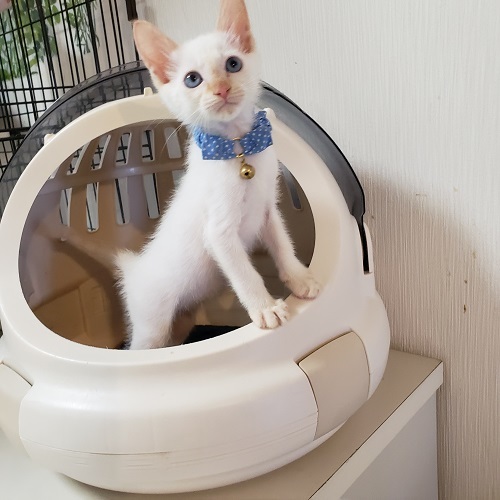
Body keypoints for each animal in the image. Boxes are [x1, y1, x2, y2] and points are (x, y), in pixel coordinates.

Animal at [114, 0, 320, 349]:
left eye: (233, 64)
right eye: (192, 79)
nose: (221, 89)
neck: (238, 151)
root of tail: (136, 269)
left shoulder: (268, 210)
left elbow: (282, 244)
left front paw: (299, 277)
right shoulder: (219, 233)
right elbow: (244, 272)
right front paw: (265, 308)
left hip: (182, 319)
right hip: (151, 324)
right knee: (143, 348)